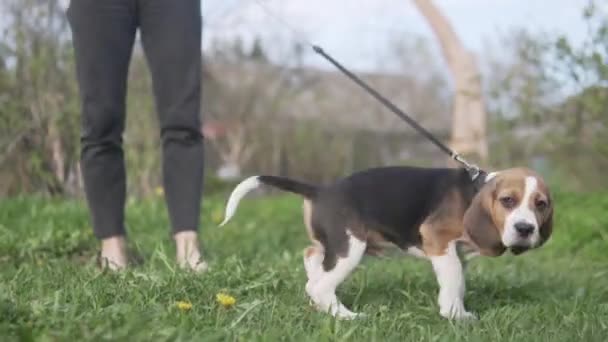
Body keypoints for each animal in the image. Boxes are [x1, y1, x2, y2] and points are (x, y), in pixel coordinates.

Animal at [221, 166, 552, 320]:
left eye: (541, 205)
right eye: (508, 201)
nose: (525, 229)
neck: (474, 192)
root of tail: (321, 190)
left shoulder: (457, 254)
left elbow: (457, 282)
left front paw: (459, 310)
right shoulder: (438, 240)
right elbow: (452, 282)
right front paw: (455, 316)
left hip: (339, 245)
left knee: (312, 258)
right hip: (350, 247)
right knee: (321, 285)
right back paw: (347, 316)